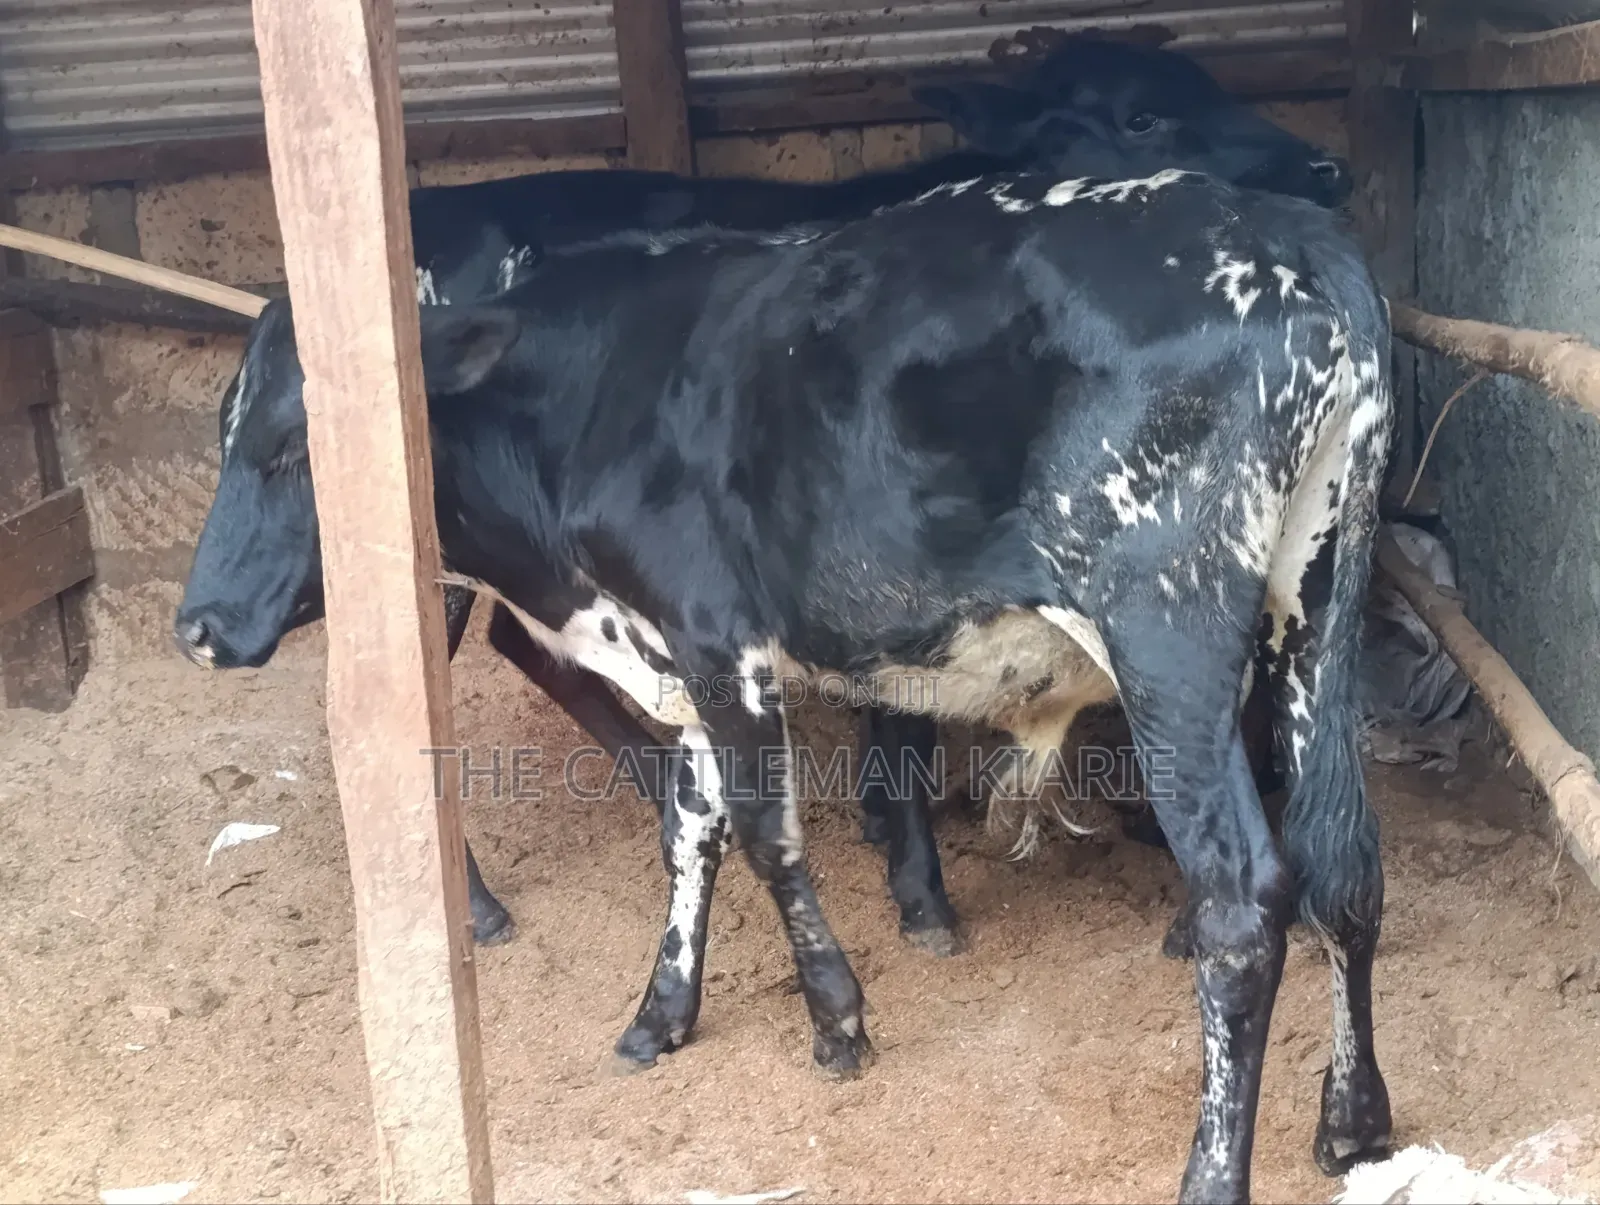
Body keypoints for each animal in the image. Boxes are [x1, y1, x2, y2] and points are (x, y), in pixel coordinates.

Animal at [174, 167, 1394, 1200]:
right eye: (229, 431)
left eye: (296, 446)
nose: (195, 626)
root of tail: (1286, 228)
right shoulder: (672, 655)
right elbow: (691, 823)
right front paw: (662, 1011)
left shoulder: (718, 639)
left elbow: (766, 831)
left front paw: (835, 1019)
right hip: (1314, 600)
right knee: (1341, 863)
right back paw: (1352, 1121)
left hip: (1164, 619)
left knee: (1244, 896)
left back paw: (1214, 1172)